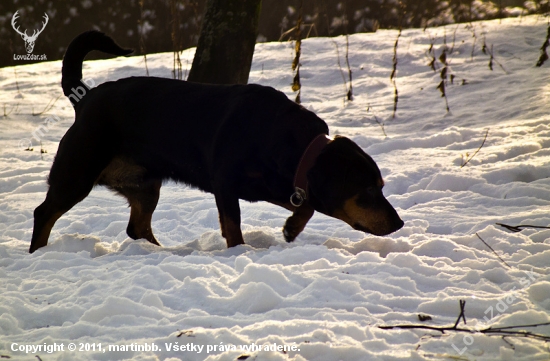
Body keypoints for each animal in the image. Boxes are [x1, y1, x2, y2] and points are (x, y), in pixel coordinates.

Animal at [29, 31, 406, 253]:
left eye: (381, 187)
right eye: (368, 190)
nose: (400, 223)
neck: (289, 147)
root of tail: (84, 97)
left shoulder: (277, 186)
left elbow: (307, 204)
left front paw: (291, 229)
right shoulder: (226, 184)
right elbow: (234, 228)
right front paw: (241, 251)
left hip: (146, 184)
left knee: (137, 227)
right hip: (77, 172)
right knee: (44, 212)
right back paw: (38, 252)